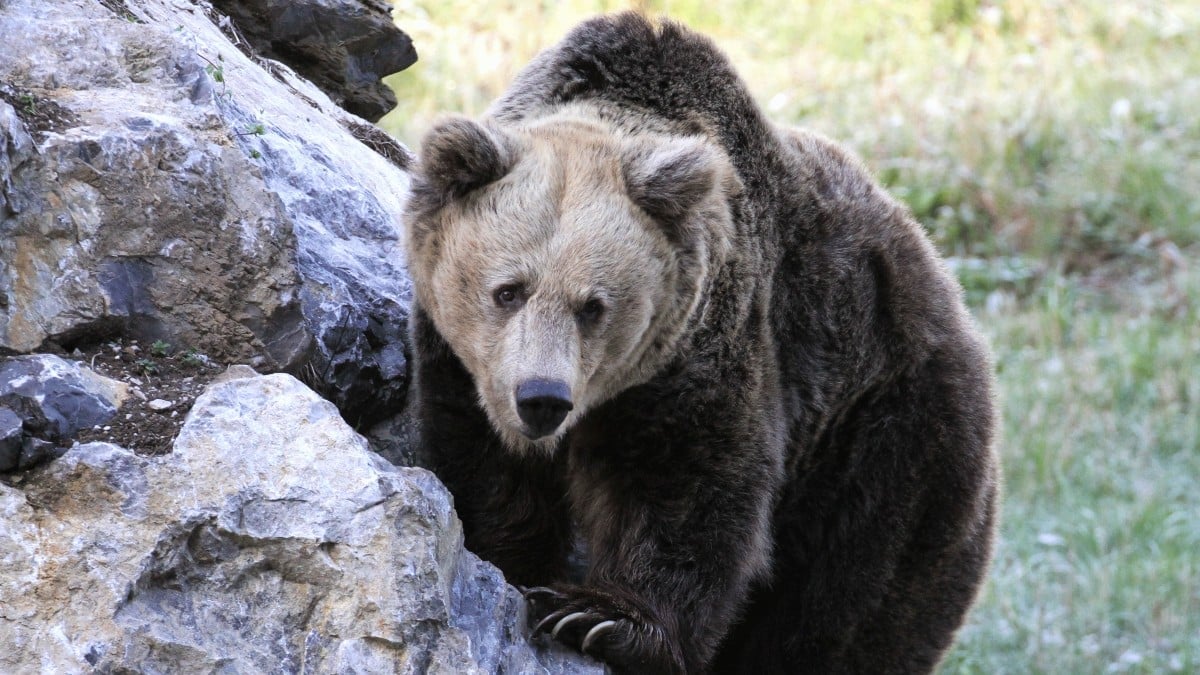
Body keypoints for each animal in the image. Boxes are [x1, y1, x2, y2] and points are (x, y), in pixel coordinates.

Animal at [400, 11, 993, 672]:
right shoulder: (460, 364)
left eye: (593, 306)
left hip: (888, 438)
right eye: (509, 290)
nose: (542, 399)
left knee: (852, 603)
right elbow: (483, 469)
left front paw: (598, 617)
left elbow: (693, 489)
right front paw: (512, 562)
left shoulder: (713, 345)